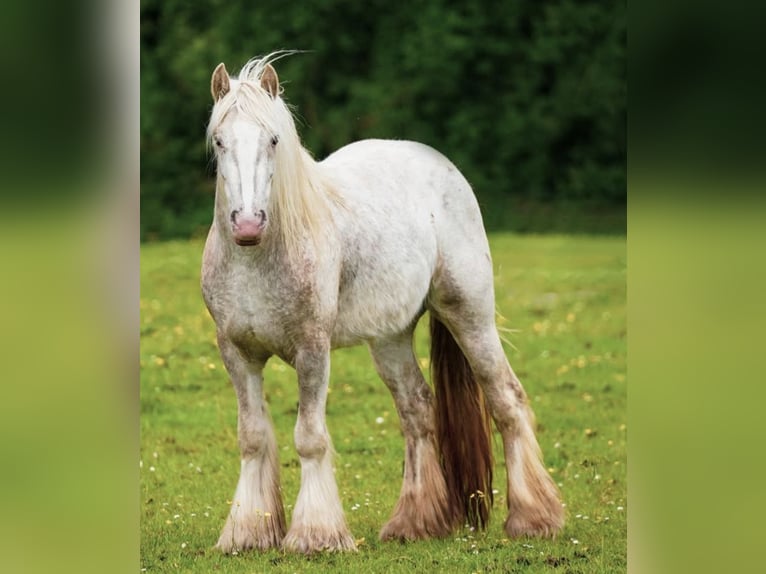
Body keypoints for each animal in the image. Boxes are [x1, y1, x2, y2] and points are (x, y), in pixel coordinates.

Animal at [201, 53, 564, 554]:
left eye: (273, 140)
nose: (248, 224)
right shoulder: (237, 354)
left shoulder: (312, 352)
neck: (259, 260)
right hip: (390, 339)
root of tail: (442, 167)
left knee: (506, 400)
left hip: (469, 314)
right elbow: (253, 438)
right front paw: (249, 532)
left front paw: (316, 536)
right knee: (418, 412)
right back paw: (416, 522)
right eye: (220, 141)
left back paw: (533, 517)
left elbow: (310, 438)